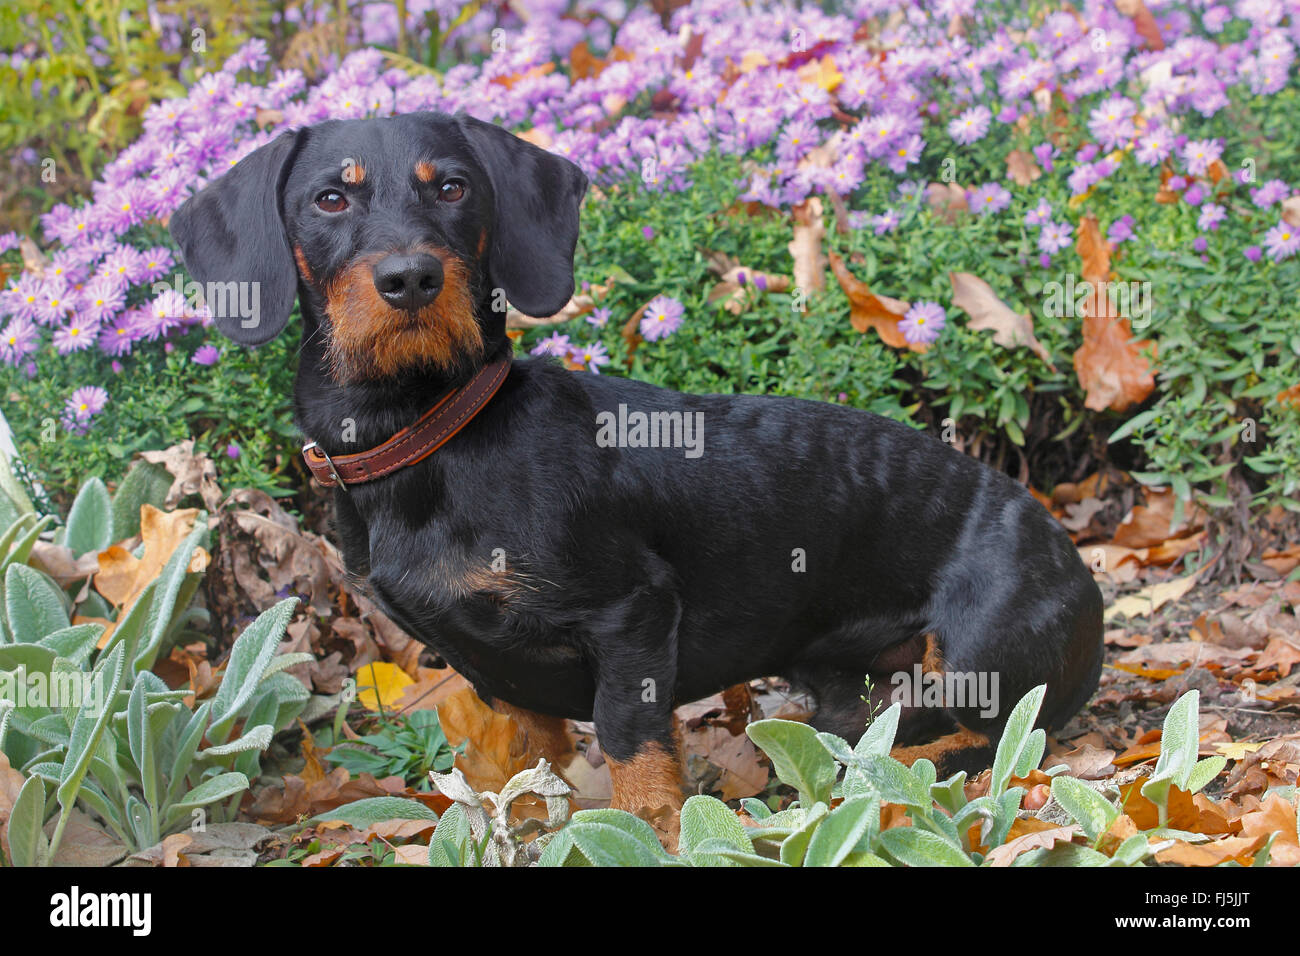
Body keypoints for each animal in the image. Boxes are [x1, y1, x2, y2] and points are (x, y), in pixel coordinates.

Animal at [172, 110, 1102, 816]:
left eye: (453, 186)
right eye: (330, 198)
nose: (410, 279)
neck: (436, 433)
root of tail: (1079, 573)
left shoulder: (632, 616)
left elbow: (630, 749)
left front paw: (651, 828)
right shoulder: (496, 675)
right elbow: (534, 764)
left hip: (979, 659)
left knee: (983, 739)